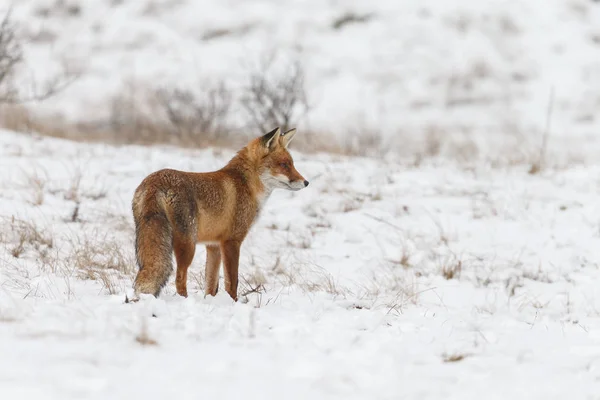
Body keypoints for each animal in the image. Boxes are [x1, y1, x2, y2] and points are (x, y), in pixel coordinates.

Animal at [132, 127, 310, 300]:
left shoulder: (214, 246)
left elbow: (211, 285)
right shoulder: (231, 241)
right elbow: (232, 282)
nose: (306, 182)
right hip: (188, 245)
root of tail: (154, 182)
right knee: (179, 279)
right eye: (284, 165)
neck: (246, 184)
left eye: (292, 164)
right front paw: (233, 302)